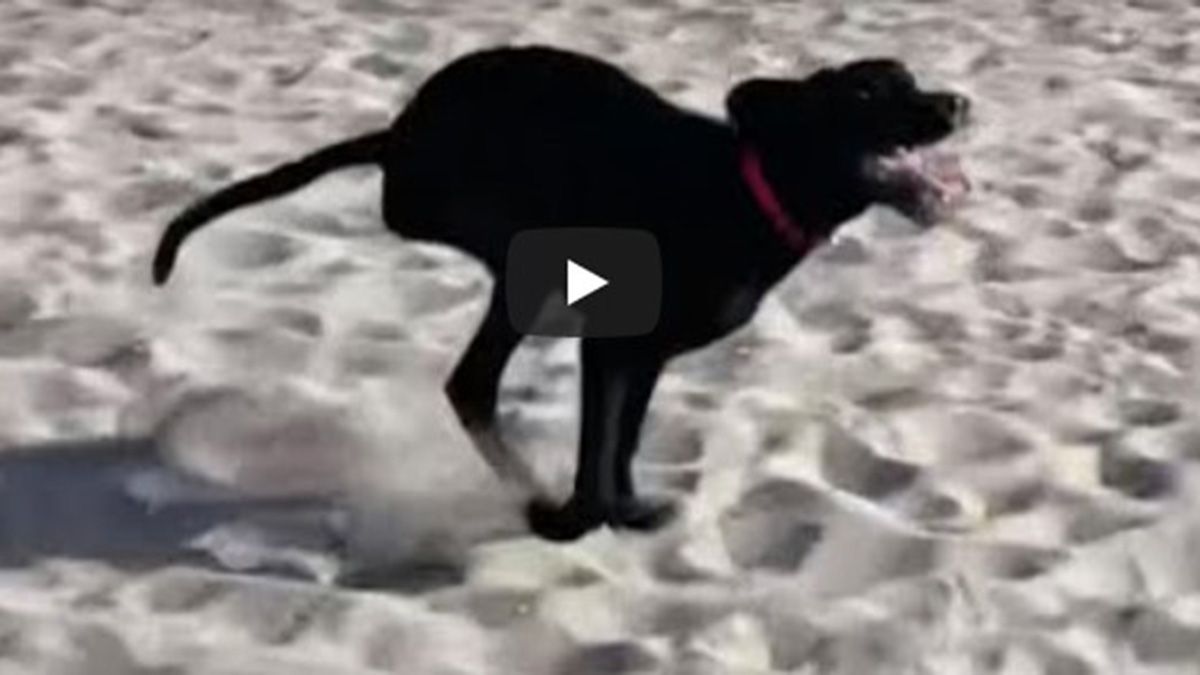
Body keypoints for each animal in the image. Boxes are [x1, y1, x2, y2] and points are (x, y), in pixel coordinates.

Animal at [152, 44, 974, 540]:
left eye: (910, 80)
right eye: (866, 90)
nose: (958, 104)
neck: (753, 185)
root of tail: (398, 137)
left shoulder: (643, 354)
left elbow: (623, 441)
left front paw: (626, 509)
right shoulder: (609, 340)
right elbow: (597, 448)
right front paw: (578, 516)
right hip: (523, 259)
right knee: (471, 384)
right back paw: (535, 500)